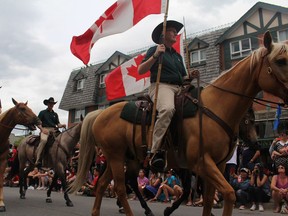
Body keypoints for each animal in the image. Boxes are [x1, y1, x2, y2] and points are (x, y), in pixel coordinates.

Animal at [71, 30, 288, 216]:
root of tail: (101, 113)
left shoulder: (216, 166)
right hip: (116, 157)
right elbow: (228, 194)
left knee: (103, 184)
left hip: (122, 158)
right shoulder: (201, 164)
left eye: (253, 121)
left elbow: (208, 199)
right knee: (120, 187)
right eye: (280, 61)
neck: (215, 108)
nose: (254, 142)